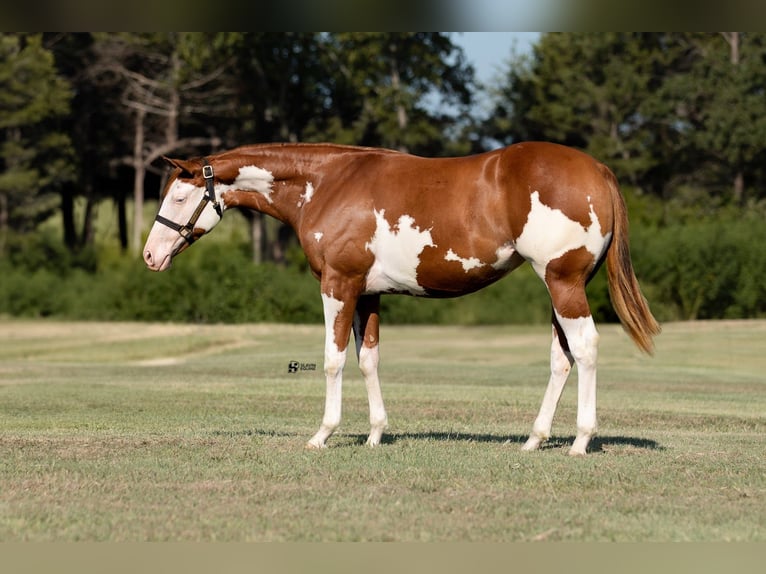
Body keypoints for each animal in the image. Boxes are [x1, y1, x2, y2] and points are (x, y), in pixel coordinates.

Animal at [144, 142, 660, 456]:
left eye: (177, 199)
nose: (150, 255)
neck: (326, 183)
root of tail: (597, 169)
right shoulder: (368, 293)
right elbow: (368, 359)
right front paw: (375, 434)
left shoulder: (338, 285)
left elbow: (333, 360)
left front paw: (322, 434)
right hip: (561, 286)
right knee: (562, 357)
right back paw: (535, 440)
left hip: (563, 281)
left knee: (585, 348)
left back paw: (580, 441)